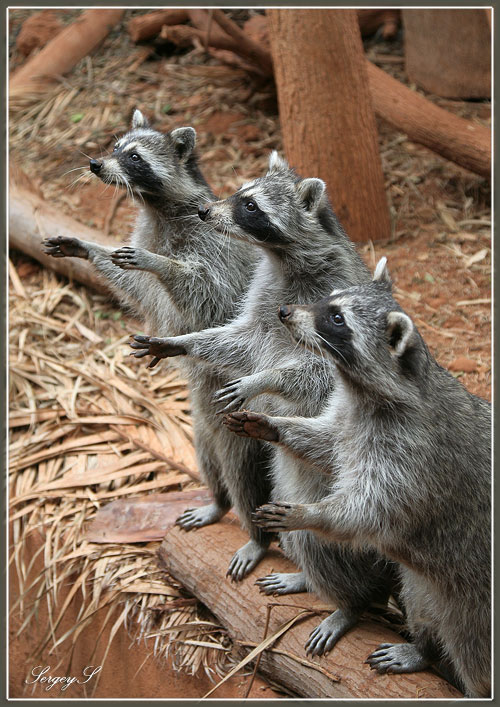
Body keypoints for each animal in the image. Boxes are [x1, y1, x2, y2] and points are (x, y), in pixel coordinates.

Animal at [129, 152, 398, 656]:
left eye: (250, 206)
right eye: (238, 193)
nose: (204, 211)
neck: (283, 257)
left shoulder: (333, 310)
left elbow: (316, 374)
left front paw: (265, 378)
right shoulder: (262, 297)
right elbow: (238, 340)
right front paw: (184, 342)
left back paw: (349, 598)